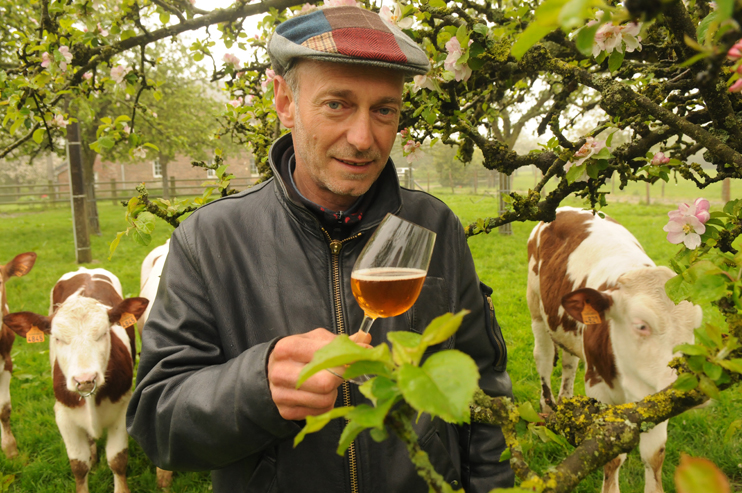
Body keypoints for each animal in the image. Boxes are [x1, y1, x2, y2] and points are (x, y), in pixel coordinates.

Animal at [2, 270, 147, 492]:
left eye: (104, 333)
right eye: (57, 338)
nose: (85, 379)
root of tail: (85, 270)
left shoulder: (122, 409)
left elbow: (117, 460)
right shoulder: (63, 415)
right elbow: (79, 465)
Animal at [528, 208, 708, 492]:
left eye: (694, 327)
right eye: (641, 325)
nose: (693, 381)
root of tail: (566, 209)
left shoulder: (657, 398)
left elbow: (654, 455)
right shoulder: (599, 388)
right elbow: (612, 458)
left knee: (569, 361)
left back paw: (566, 402)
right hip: (535, 304)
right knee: (543, 357)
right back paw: (548, 408)